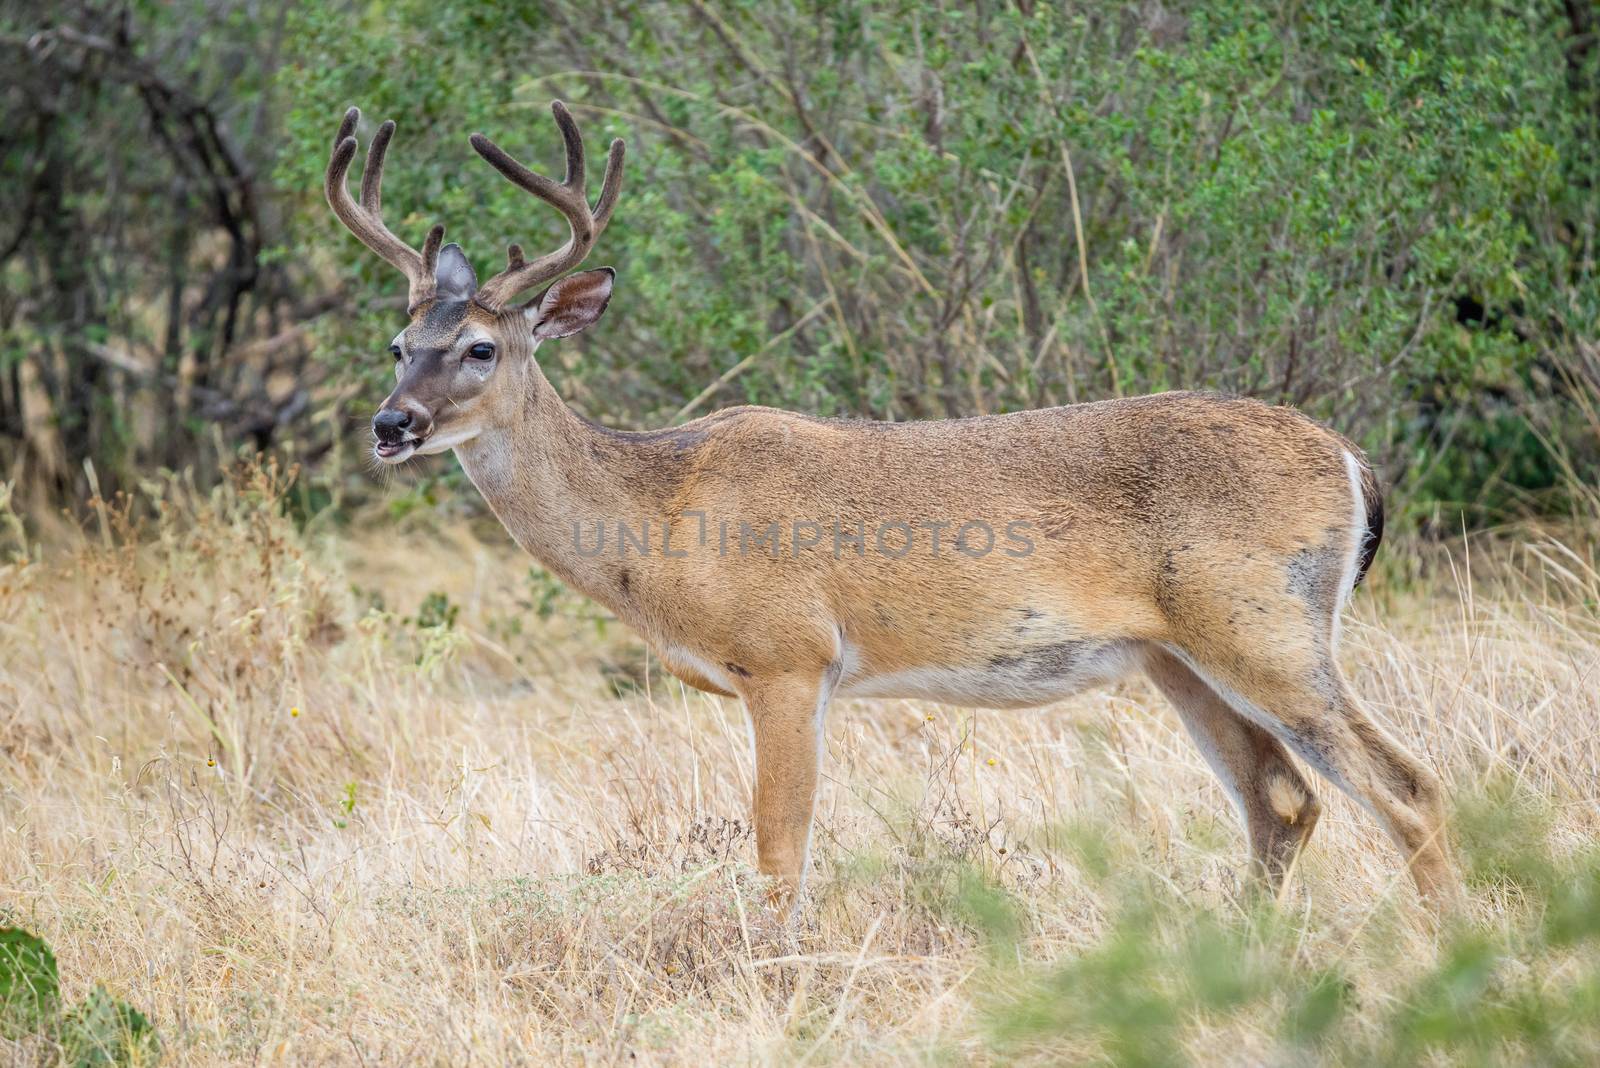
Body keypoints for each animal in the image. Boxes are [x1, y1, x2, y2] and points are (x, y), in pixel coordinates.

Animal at [324, 99, 1465, 914]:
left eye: (481, 348)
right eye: (396, 344)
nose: (390, 424)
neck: (657, 514)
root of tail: (1352, 461)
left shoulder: (788, 655)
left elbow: (779, 853)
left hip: (1263, 626)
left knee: (1406, 788)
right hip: (1177, 656)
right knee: (1284, 802)